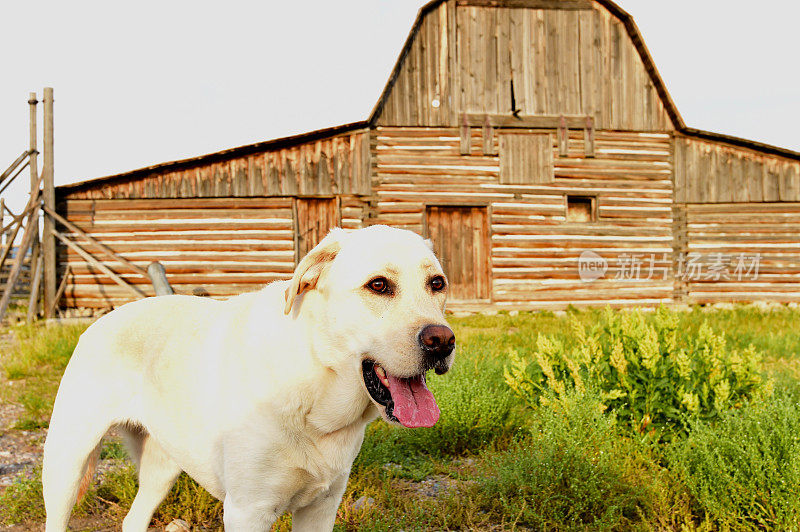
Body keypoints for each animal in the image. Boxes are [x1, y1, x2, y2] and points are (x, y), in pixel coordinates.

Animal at [42, 225, 456, 532]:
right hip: (66, 463)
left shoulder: (322, 507)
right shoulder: (247, 511)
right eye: (378, 285)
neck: (314, 389)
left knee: (133, 520)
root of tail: (103, 318)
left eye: (437, 284)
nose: (442, 341)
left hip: (163, 466)